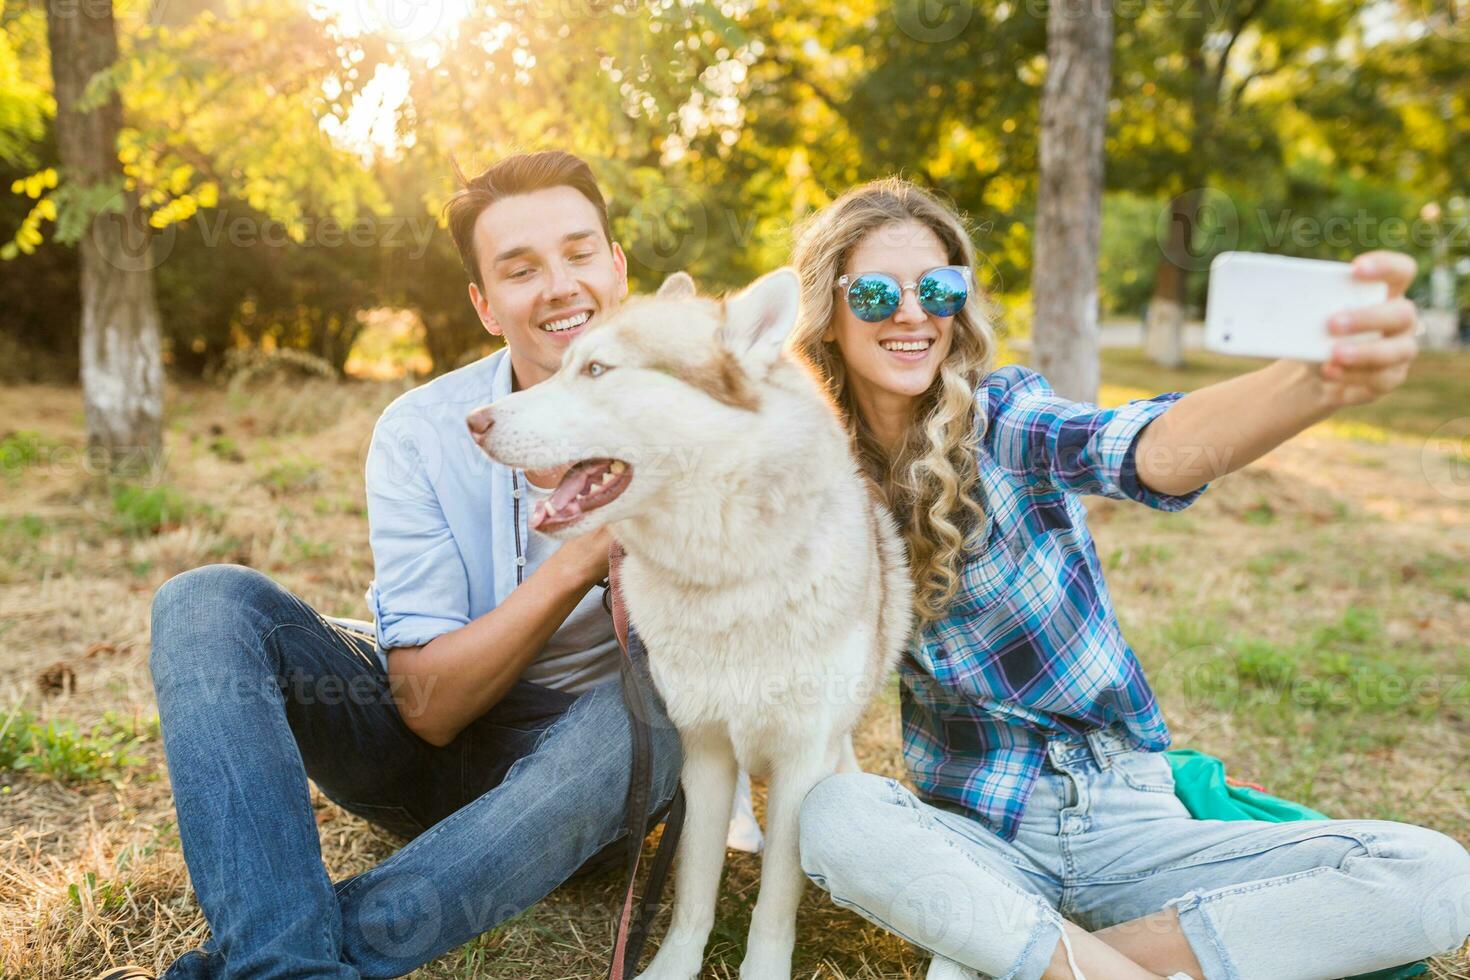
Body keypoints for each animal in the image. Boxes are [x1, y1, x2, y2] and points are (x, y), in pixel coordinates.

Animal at [464, 270, 911, 980]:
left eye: (596, 370)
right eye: (564, 367)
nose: (473, 422)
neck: (729, 580)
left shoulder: (800, 759)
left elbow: (774, 907)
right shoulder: (702, 749)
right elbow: (693, 889)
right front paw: (672, 966)